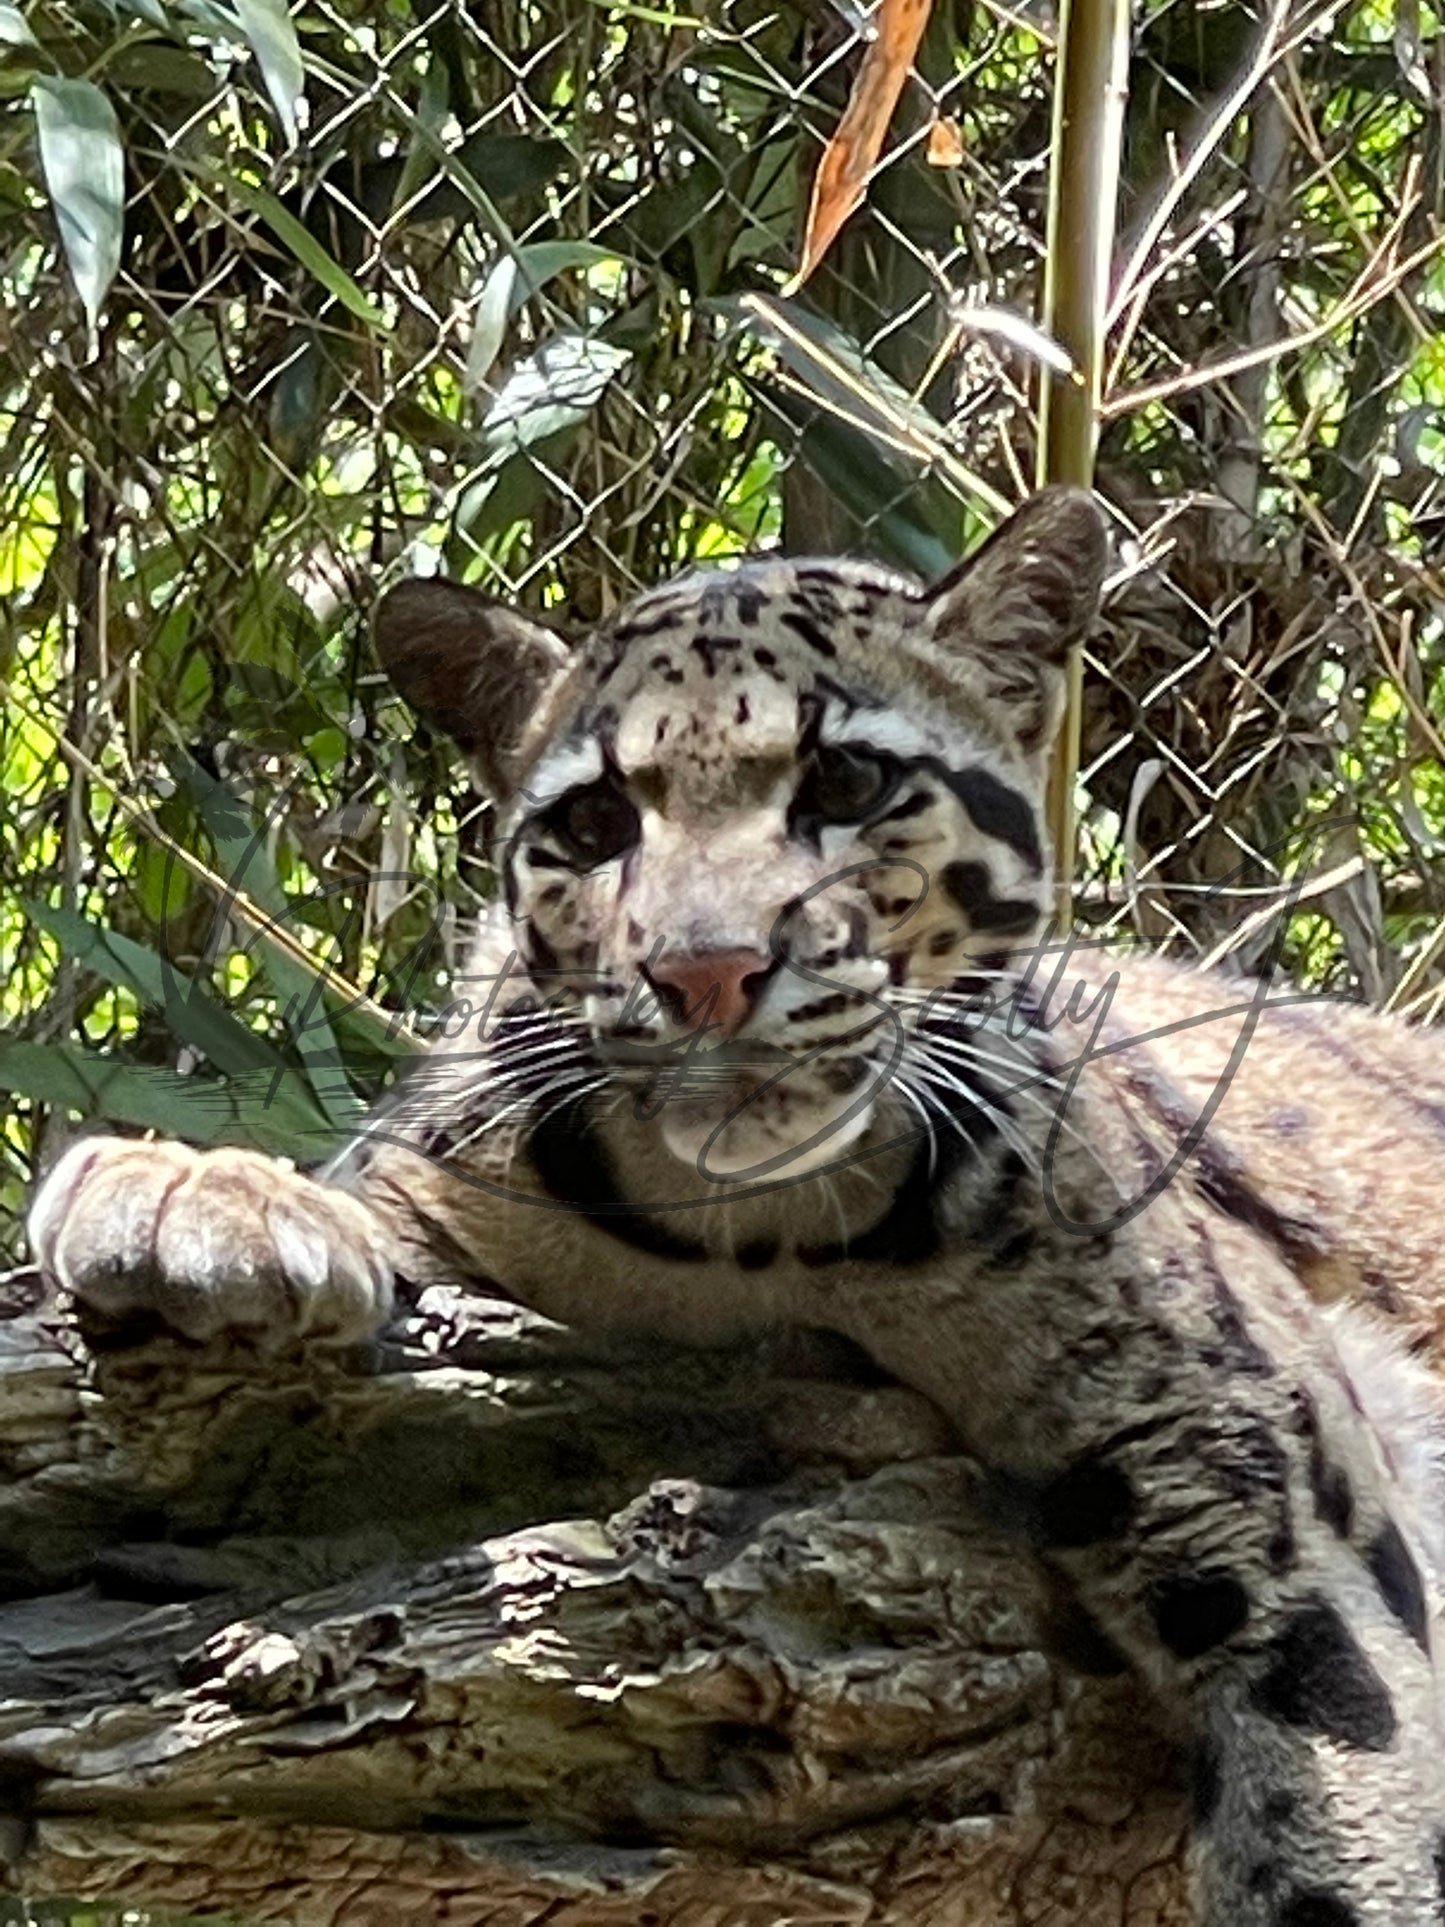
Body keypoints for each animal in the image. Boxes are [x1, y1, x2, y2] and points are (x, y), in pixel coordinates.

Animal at [28, 487, 1445, 1924]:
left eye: (848, 785)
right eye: (595, 824)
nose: (704, 971)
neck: (766, 1228)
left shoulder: (1254, 1480)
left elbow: (1342, 1785)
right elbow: (362, 1189)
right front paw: (183, 1188)